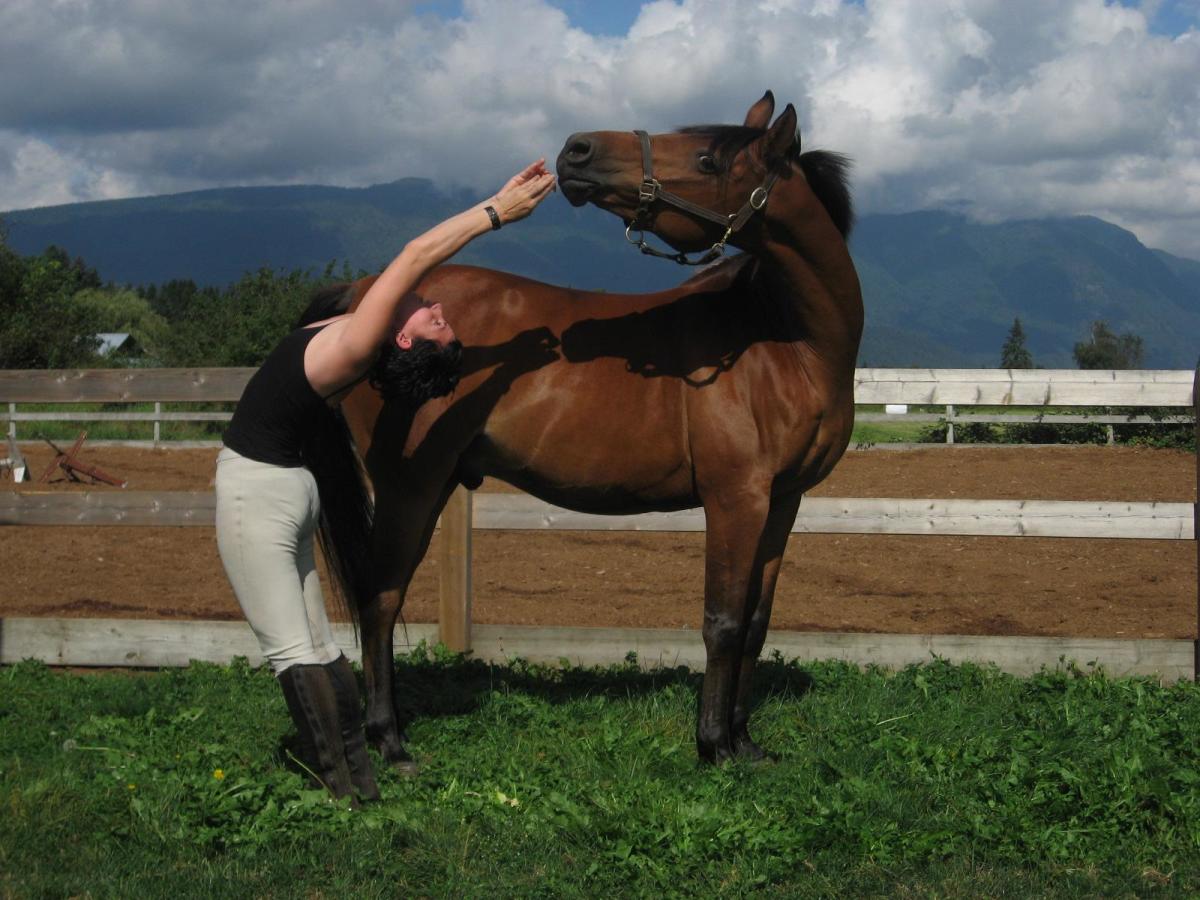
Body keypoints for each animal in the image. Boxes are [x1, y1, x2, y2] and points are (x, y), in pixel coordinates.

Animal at [306, 91, 862, 764]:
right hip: (407, 488)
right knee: (381, 597)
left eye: (706, 158)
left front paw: (746, 742)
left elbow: (755, 621)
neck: (786, 340)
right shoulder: (736, 499)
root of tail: (364, 295)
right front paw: (713, 745)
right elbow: (723, 622)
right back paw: (388, 740)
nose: (577, 150)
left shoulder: (782, 501)